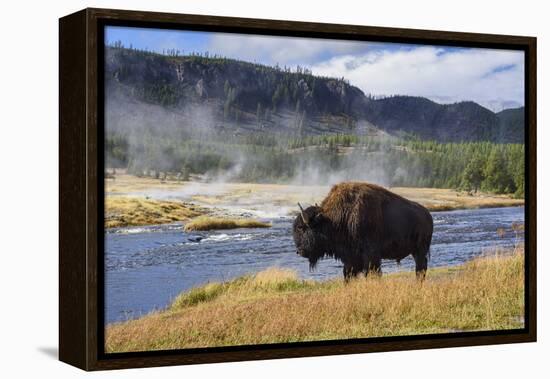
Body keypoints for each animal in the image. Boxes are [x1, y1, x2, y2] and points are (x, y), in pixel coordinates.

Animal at [294, 183, 436, 280]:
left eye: (301, 228)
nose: (299, 251)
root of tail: (428, 215)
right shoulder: (350, 258)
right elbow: (348, 274)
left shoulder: (370, 255)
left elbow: (373, 273)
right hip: (415, 251)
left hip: (420, 250)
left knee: (421, 268)